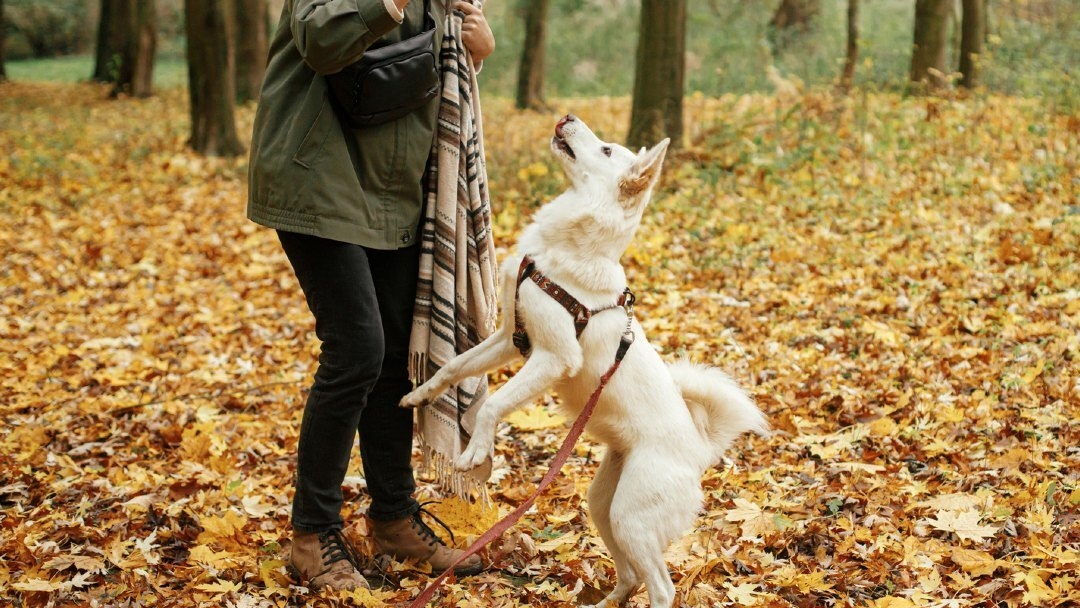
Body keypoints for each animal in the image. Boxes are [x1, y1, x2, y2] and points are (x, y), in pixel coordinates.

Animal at [403, 116, 768, 604]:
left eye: (609, 149)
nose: (567, 119)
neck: (567, 248)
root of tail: (699, 449)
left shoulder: (553, 357)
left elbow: (494, 404)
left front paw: (477, 449)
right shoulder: (509, 339)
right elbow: (454, 366)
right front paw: (420, 394)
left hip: (631, 518)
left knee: (662, 587)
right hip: (603, 506)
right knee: (630, 575)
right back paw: (606, 601)